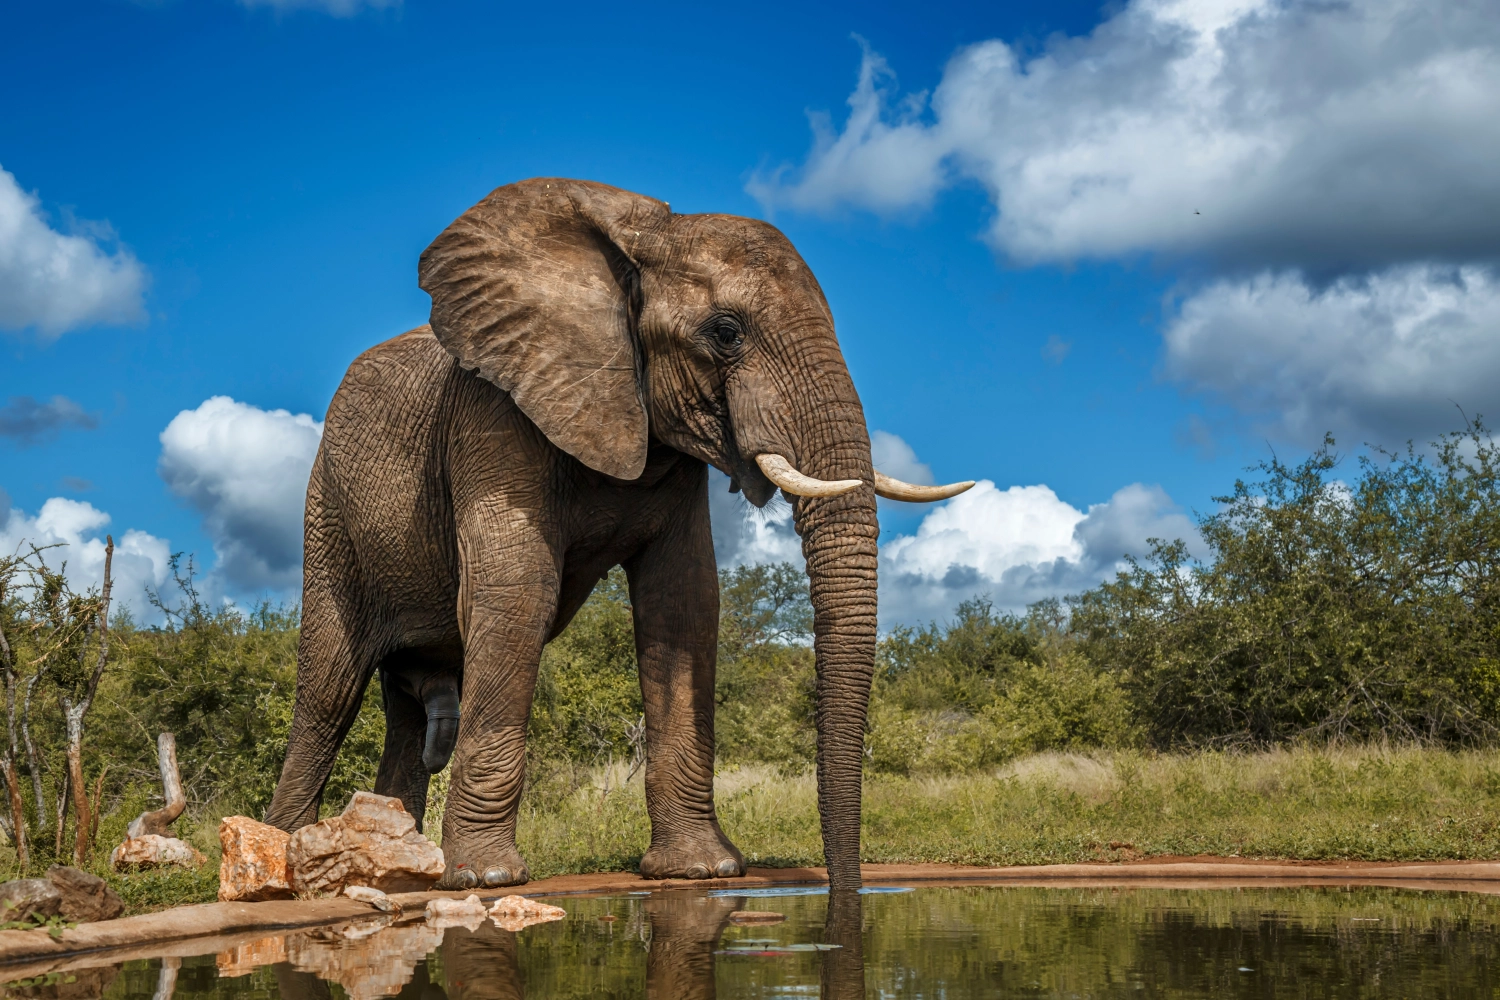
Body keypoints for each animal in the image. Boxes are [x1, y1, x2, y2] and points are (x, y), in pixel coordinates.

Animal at [265, 173, 972, 893]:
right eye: (726, 332)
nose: (844, 886)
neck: (642, 240)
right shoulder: (494, 412)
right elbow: (518, 593)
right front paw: (483, 879)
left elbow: (682, 605)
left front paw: (701, 869)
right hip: (328, 508)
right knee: (327, 691)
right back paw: (293, 855)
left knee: (403, 714)